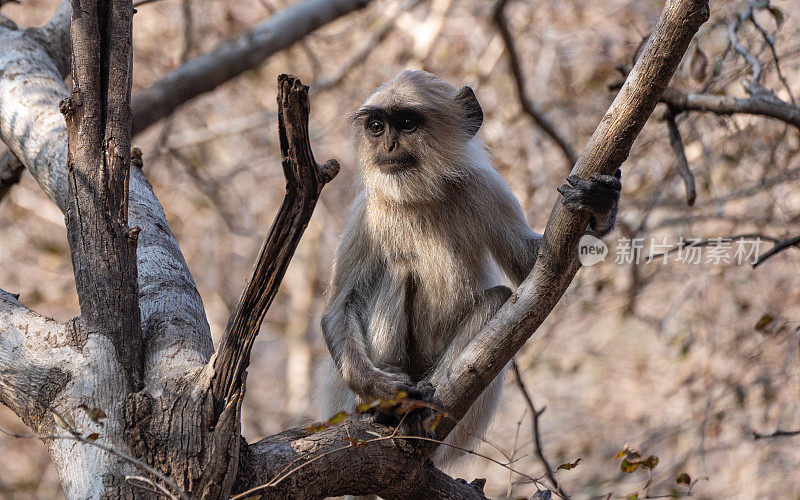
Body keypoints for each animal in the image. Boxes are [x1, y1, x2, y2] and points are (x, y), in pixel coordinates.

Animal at [318, 69, 620, 464]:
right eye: (377, 127)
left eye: (408, 124)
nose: (389, 147)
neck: (420, 197)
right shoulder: (365, 212)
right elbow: (340, 306)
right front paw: (378, 386)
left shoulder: (484, 187)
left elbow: (538, 267)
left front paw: (600, 206)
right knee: (399, 270)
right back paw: (388, 409)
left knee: (496, 297)